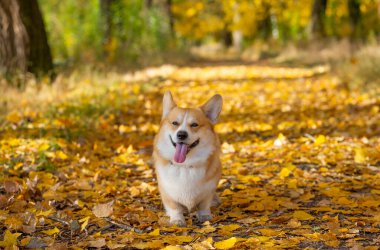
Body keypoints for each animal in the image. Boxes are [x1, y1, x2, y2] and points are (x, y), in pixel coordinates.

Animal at [152, 92, 223, 227]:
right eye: (175, 123)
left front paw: (205, 216)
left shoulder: (208, 191)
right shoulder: (167, 193)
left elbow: (204, 205)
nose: (181, 135)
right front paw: (177, 219)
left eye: (194, 124)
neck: (185, 166)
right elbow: (174, 208)